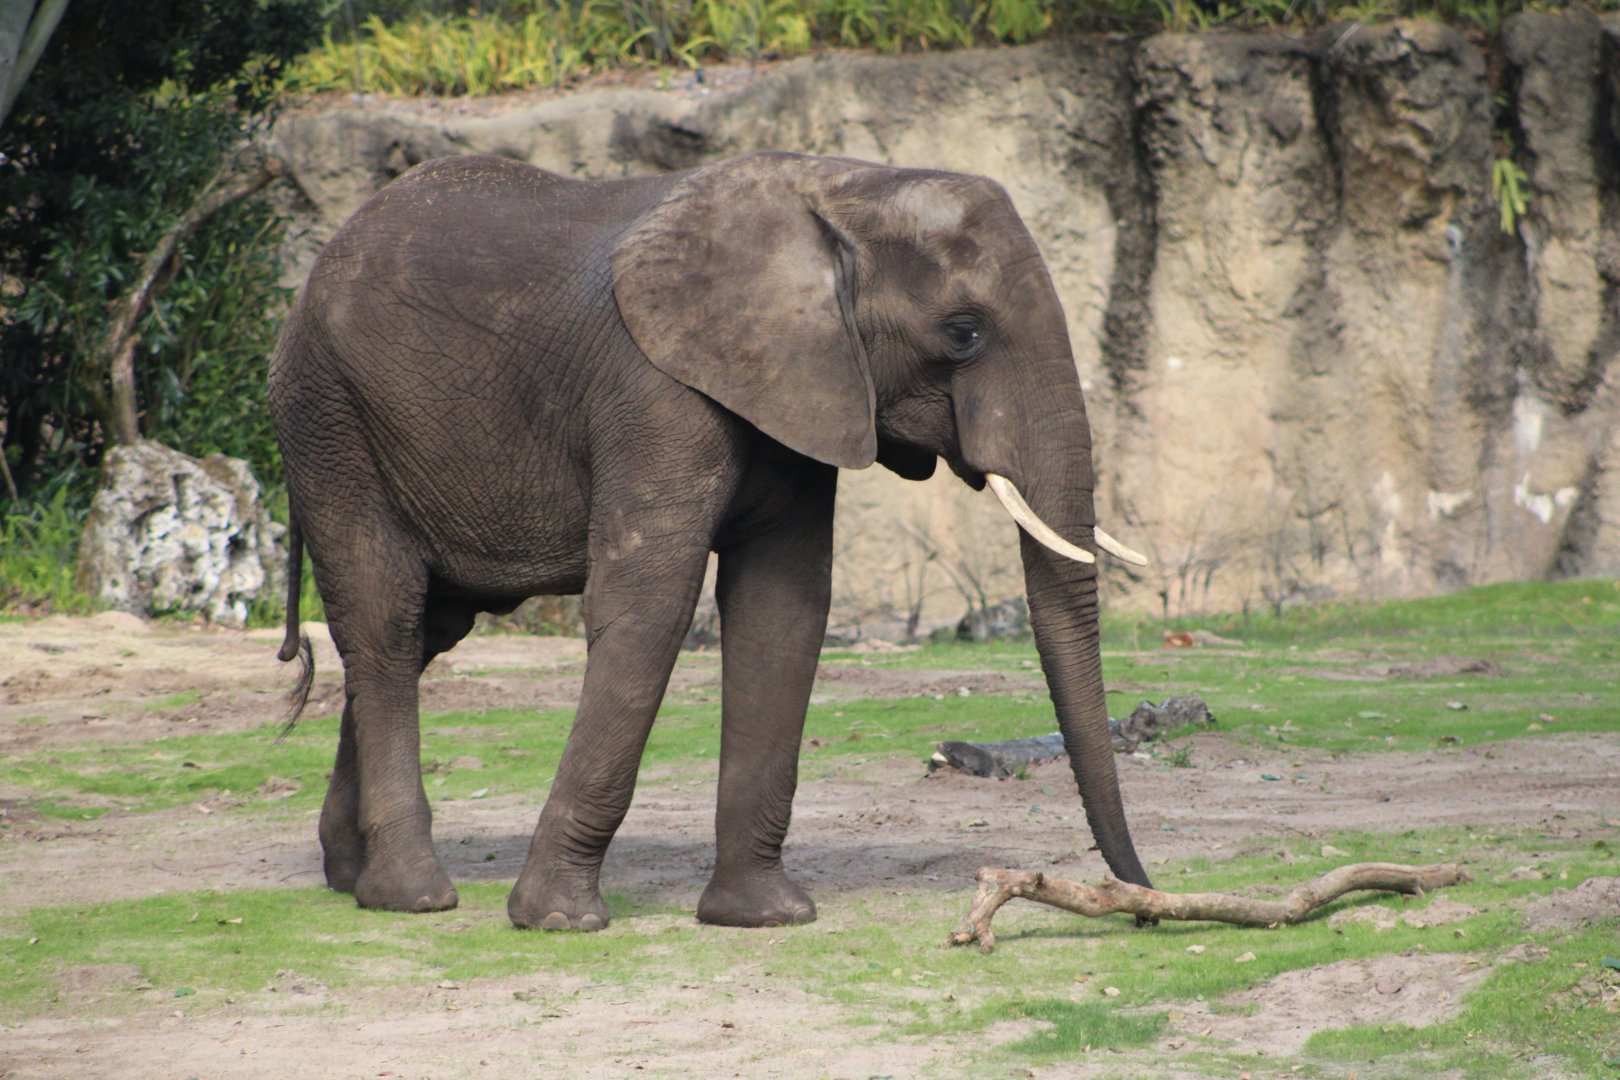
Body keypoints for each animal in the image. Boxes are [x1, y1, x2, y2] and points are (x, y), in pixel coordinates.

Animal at [269, 150, 1153, 931]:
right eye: (963, 332)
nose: (1140, 900)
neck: (845, 185)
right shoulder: (654, 390)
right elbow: (650, 607)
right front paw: (558, 920)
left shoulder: (802, 388)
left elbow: (783, 612)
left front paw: (762, 918)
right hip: (330, 420)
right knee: (386, 619)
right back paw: (412, 896)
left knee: (426, 630)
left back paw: (349, 877)